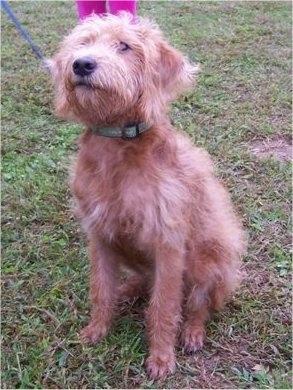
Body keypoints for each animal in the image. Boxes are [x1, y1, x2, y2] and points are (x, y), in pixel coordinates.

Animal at [46, 13, 246, 380]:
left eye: (124, 46)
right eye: (83, 43)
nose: (82, 64)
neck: (118, 145)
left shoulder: (167, 242)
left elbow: (164, 307)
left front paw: (161, 358)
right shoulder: (100, 233)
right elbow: (100, 289)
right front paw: (97, 330)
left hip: (208, 259)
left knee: (197, 304)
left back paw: (192, 333)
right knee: (143, 281)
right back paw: (129, 289)